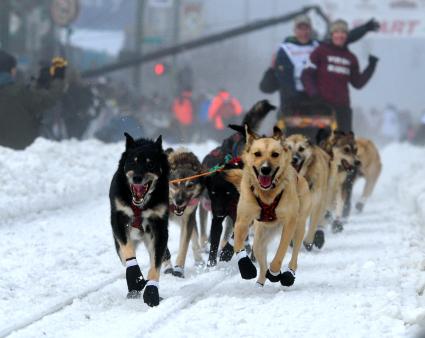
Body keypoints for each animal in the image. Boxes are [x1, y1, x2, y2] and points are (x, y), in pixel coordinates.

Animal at [108, 132, 170, 306]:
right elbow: (128, 250)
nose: (137, 178)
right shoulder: (118, 219)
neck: (140, 206)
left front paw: (152, 292)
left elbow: (155, 264)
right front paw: (135, 277)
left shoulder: (160, 228)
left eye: (150, 163)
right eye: (133, 161)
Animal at [162, 148, 204, 278]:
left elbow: (184, 246)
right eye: (175, 183)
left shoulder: (188, 218)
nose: (179, 201)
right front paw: (167, 267)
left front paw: (179, 269)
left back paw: (199, 260)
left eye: (190, 185)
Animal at [225, 127, 312, 288]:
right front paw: (246, 268)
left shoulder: (290, 223)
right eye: (257, 153)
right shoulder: (242, 221)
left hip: (299, 226)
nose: (265, 169)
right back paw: (259, 283)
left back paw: (288, 274)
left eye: (275, 154)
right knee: (262, 263)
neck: (267, 194)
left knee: (294, 255)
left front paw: (275, 272)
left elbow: (280, 252)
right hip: (259, 240)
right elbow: (238, 244)